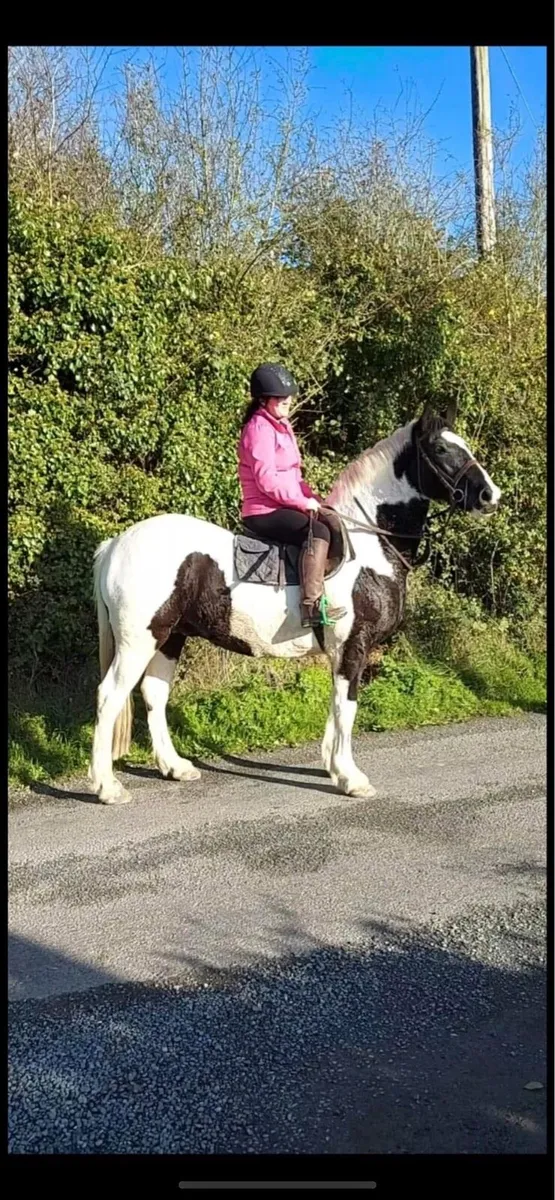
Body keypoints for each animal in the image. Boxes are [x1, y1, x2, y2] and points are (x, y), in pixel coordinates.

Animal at [89, 400, 501, 804]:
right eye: (441, 449)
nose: (489, 495)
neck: (370, 545)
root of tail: (116, 544)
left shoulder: (340, 651)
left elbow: (336, 704)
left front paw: (333, 766)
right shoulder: (353, 645)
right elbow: (347, 705)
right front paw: (351, 778)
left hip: (172, 635)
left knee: (154, 693)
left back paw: (174, 767)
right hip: (140, 639)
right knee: (110, 695)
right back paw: (107, 786)